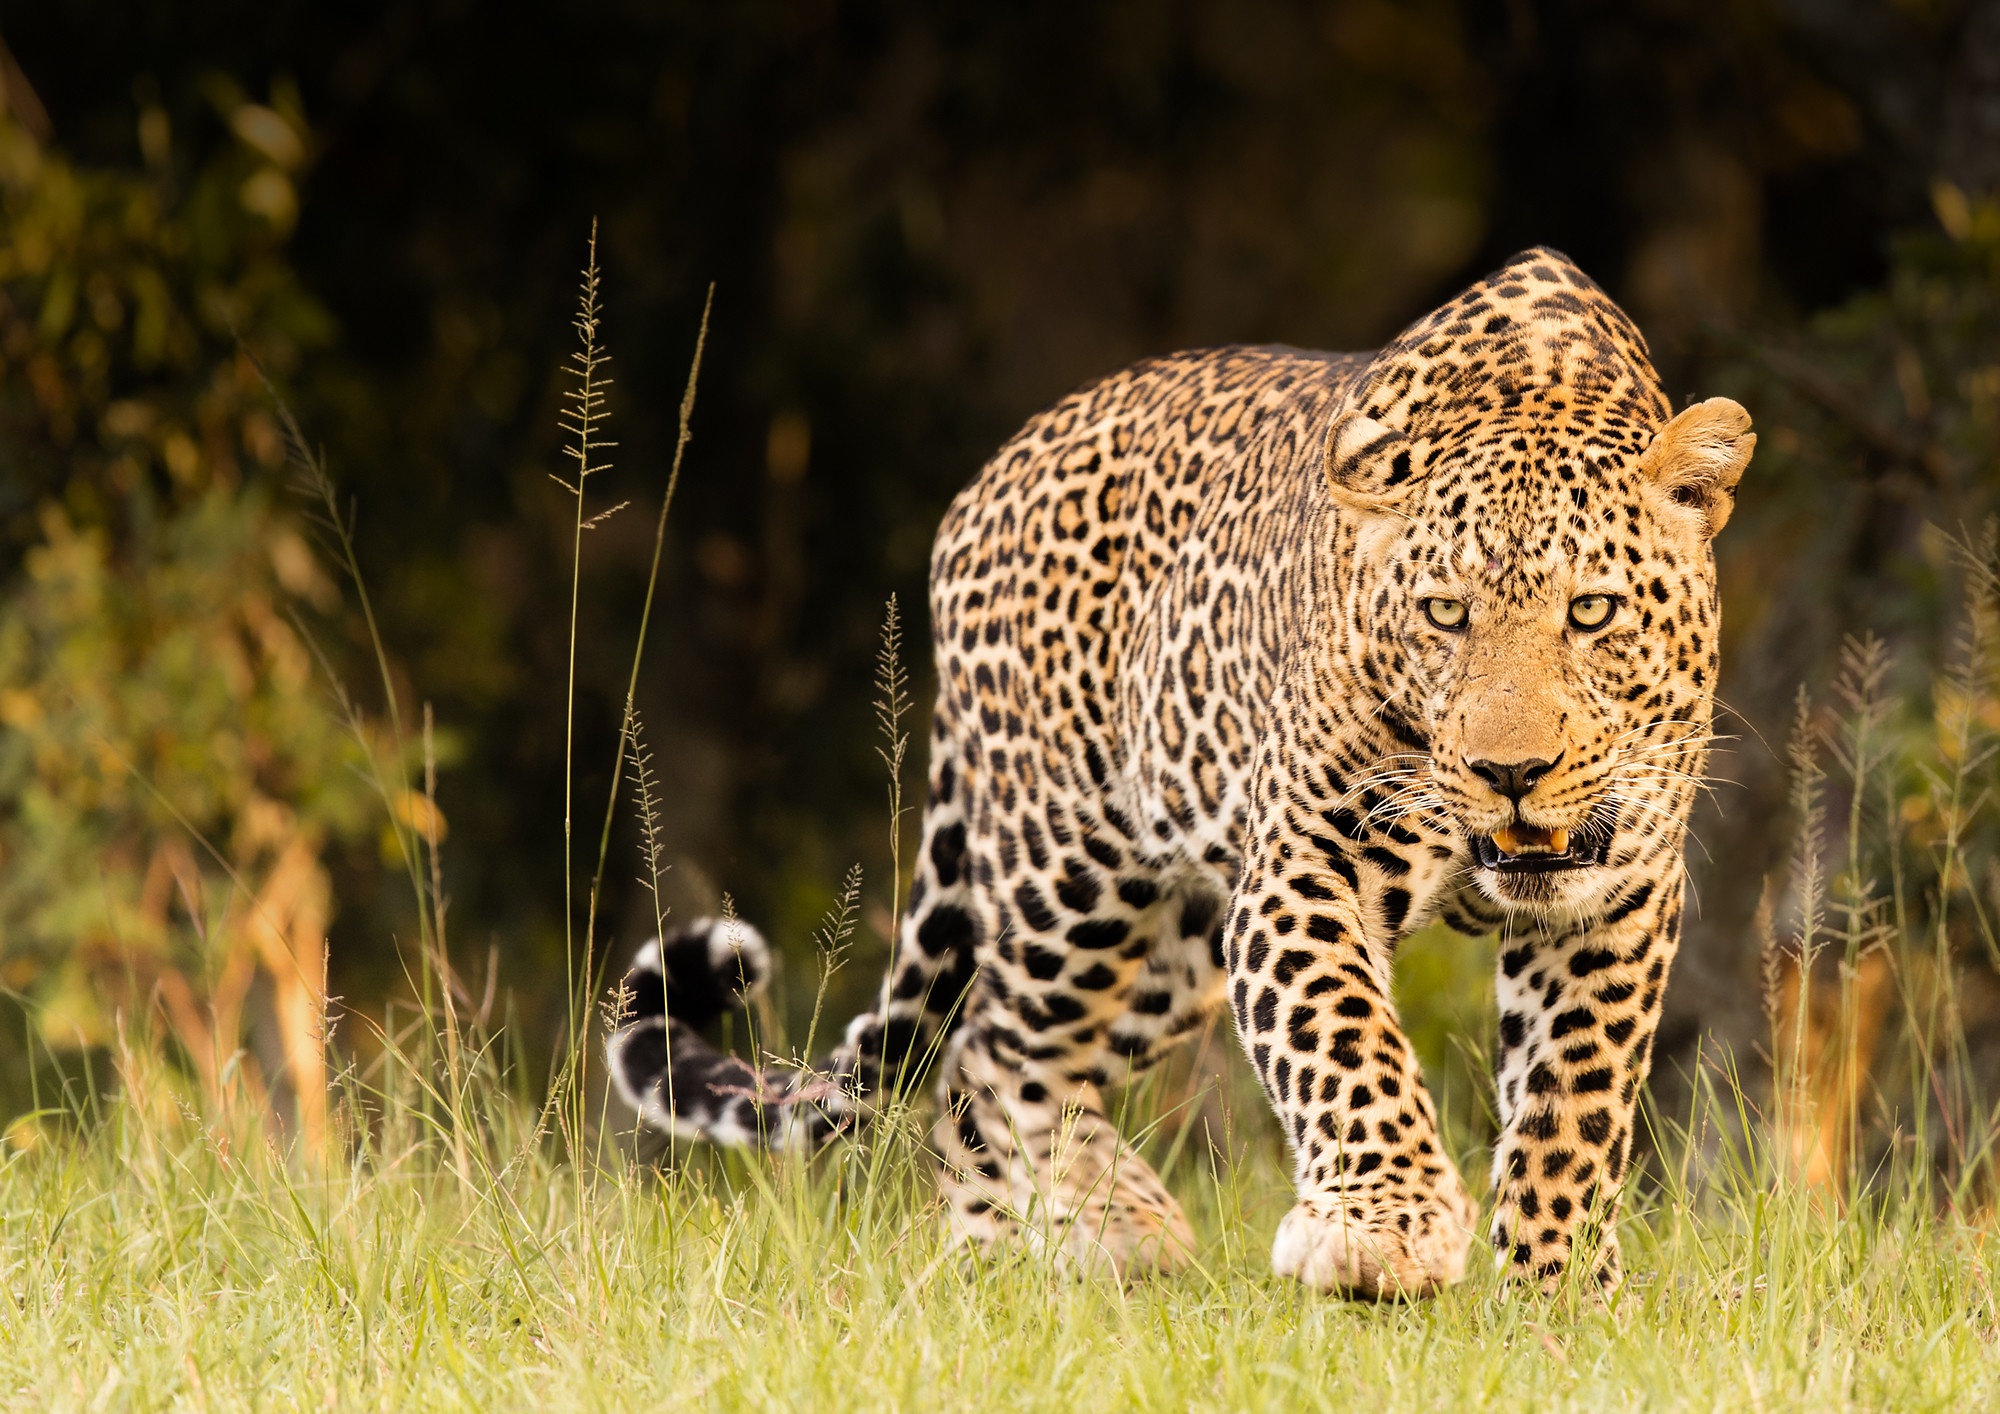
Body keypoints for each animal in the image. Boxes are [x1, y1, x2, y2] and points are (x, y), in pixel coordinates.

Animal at [604, 249, 1752, 1296]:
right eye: (1443, 613)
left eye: (1591, 610)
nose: (1508, 771)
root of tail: (988, 478)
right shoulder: (1309, 859)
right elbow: (1342, 1036)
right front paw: (1386, 1230)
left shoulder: (1616, 896)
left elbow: (1575, 1099)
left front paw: (1556, 1290)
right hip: (1072, 879)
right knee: (995, 1051)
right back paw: (1064, 1242)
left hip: (1180, 942)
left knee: (993, 1050)